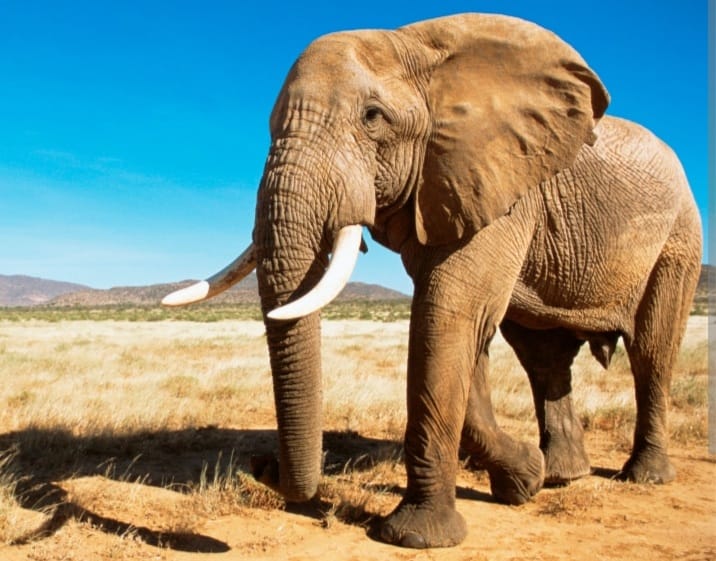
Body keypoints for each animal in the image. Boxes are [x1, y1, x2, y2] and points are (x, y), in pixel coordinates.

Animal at [162, 13, 702, 549]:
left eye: (372, 117)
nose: (262, 465)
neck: (415, 46)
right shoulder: (445, 185)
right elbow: (463, 331)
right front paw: (522, 480)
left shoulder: (498, 184)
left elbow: (447, 317)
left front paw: (416, 537)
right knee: (543, 359)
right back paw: (561, 476)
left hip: (679, 240)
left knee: (651, 351)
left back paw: (643, 476)